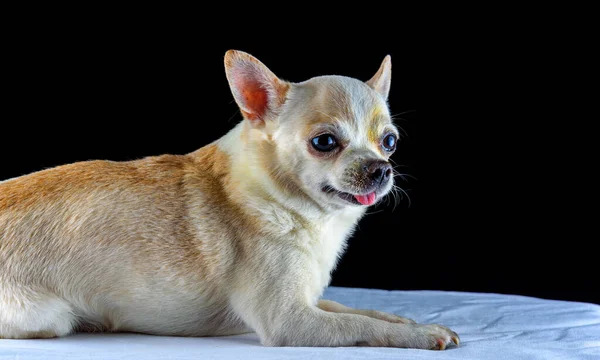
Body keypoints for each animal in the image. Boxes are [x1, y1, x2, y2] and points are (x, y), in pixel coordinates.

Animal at [1, 50, 460, 348]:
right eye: (325, 142)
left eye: (390, 142)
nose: (381, 168)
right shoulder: (290, 321)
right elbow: (361, 327)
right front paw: (420, 334)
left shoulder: (309, 301)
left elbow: (361, 312)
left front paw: (409, 320)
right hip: (47, 317)